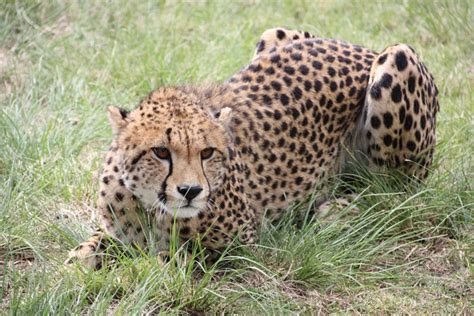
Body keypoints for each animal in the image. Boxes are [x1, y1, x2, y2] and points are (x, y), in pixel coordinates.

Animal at [65, 28, 436, 268]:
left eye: (207, 153)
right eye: (160, 152)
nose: (190, 191)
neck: (151, 207)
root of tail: (361, 48)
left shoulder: (240, 242)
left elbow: (175, 256)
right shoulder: (121, 232)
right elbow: (92, 245)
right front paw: (76, 262)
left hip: (397, 58)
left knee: (396, 191)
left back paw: (339, 209)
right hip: (277, 33)